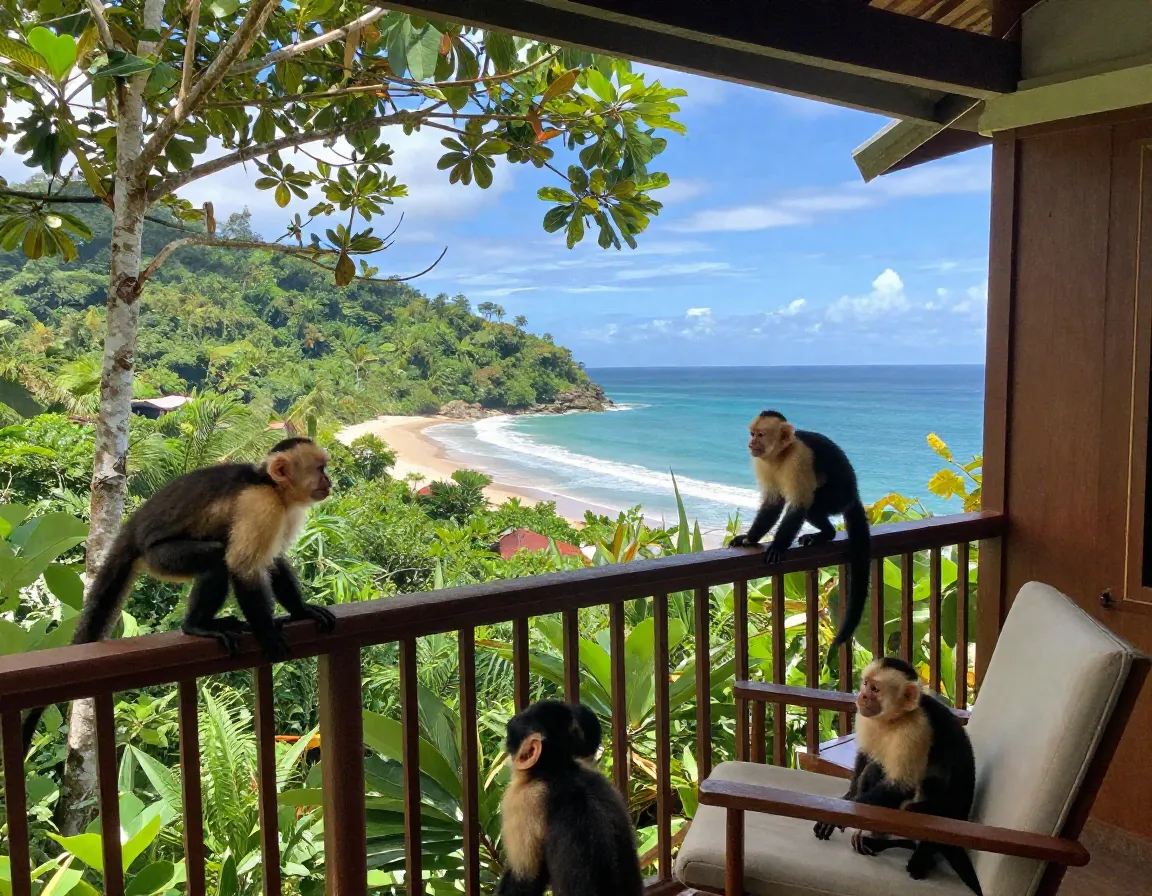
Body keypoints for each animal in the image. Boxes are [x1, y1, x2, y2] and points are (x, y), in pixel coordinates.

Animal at [21, 437, 336, 753]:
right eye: (320, 469)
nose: (329, 481)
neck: (271, 486)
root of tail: (133, 527)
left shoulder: (284, 512)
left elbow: (274, 561)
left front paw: (301, 610)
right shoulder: (260, 505)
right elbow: (243, 567)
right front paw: (268, 633)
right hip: (161, 558)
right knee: (217, 559)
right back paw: (196, 626)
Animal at [498, 700, 643, 896]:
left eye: (514, 731)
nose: (510, 722)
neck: (559, 770)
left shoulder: (522, 799)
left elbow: (526, 879)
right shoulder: (594, 774)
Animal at [729, 410, 870, 652]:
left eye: (761, 434)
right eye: (752, 433)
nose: (751, 443)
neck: (781, 454)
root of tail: (854, 495)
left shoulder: (800, 458)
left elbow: (798, 505)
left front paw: (777, 546)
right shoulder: (762, 462)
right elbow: (772, 503)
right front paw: (749, 538)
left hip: (838, 496)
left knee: (812, 503)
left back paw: (826, 533)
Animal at [812, 656, 983, 896]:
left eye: (875, 689)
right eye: (865, 684)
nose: (863, 696)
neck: (895, 719)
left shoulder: (916, 728)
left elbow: (901, 787)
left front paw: (837, 814)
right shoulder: (866, 716)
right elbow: (865, 757)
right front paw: (845, 800)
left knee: (927, 791)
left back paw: (922, 858)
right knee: (873, 769)